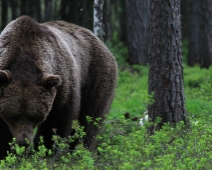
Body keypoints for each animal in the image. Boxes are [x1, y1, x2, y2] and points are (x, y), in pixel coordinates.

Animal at [0, 15, 117, 158]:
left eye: (35, 116)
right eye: (13, 116)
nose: (24, 142)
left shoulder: (62, 85)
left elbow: (57, 121)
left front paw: (45, 150)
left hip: (95, 75)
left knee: (90, 117)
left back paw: (81, 150)